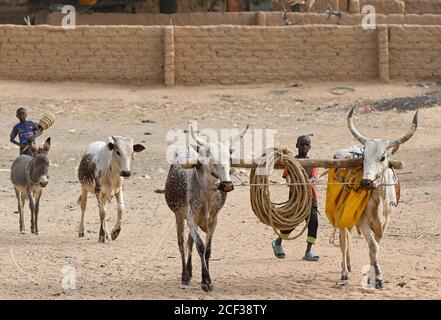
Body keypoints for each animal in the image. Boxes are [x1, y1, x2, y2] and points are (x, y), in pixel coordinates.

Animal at [164, 125, 248, 292]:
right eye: (211, 160)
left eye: (229, 159)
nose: (227, 185)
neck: (207, 195)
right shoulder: (190, 217)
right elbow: (200, 247)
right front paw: (205, 282)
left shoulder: (213, 220)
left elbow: (207, 250)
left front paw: (208, 279)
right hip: (179, 216)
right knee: (181, 243)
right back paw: (184, 275)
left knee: (189, 242)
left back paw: (189, 272)